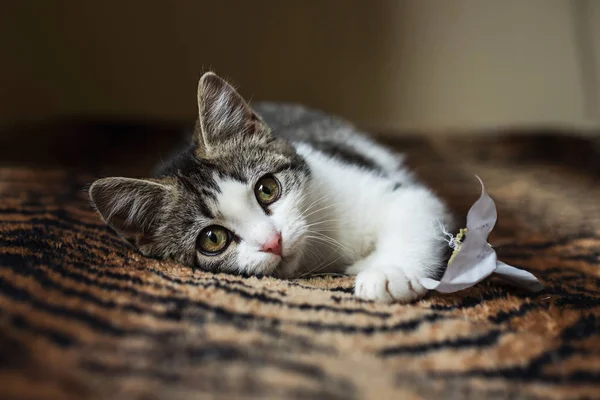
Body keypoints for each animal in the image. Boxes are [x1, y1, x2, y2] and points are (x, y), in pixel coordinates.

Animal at [89, 72, 452, 304]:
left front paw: (388, 273)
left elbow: (413, 209)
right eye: (212, 239)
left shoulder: (390, 189)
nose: (273, 241)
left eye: (267, 189)